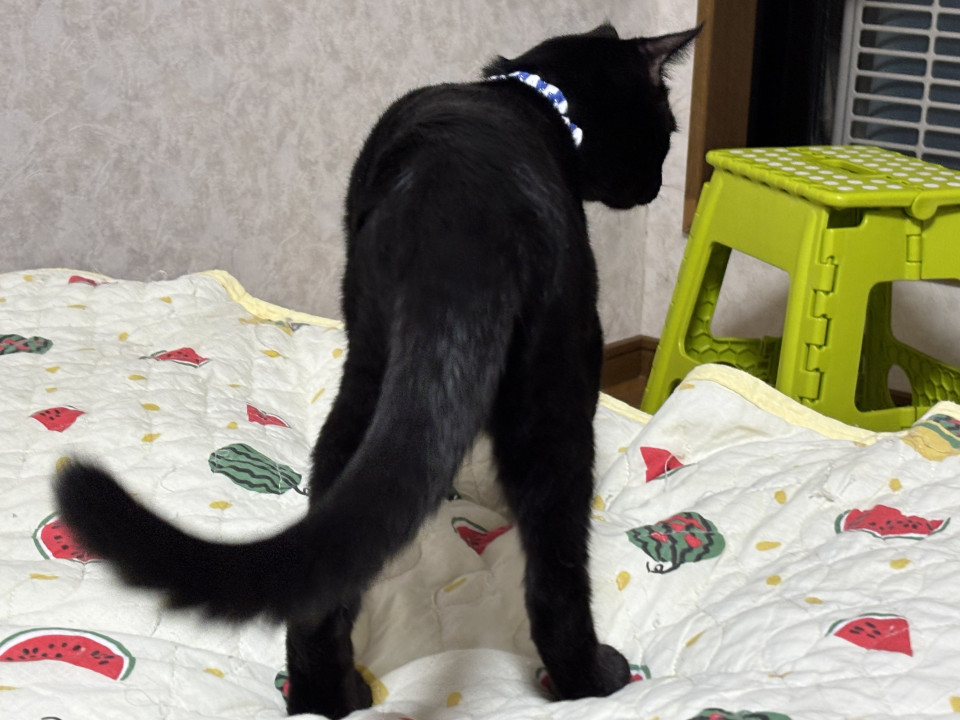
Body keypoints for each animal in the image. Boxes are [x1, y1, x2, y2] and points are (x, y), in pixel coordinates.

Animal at [56, 22, 700, 718]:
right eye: (668, 129)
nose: (658, 186)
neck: (533, 95)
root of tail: (462, 227)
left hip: (367, 374)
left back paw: (326, 697)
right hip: (558, 388)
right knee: (555, 577)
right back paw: (596, 682)